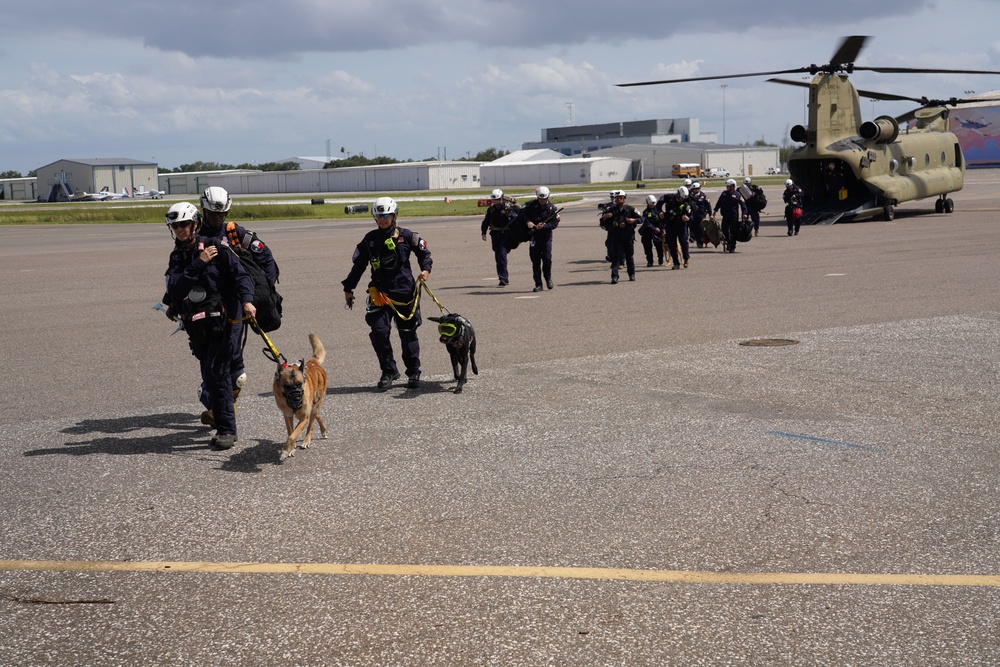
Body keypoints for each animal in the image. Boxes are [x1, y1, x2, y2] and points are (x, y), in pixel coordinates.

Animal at [274, 332, 328, 462]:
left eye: (299, 384)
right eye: (286, 386)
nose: (297, 398)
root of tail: (313, 363)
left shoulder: (304, 417)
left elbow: (292, 435)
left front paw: (285, 451)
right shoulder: (287, 415)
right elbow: (291, 433)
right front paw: (290, 449)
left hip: (313, 407)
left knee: (311, 424)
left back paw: (306, 441)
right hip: (312, 408)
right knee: (317, 415)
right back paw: (323, 430)